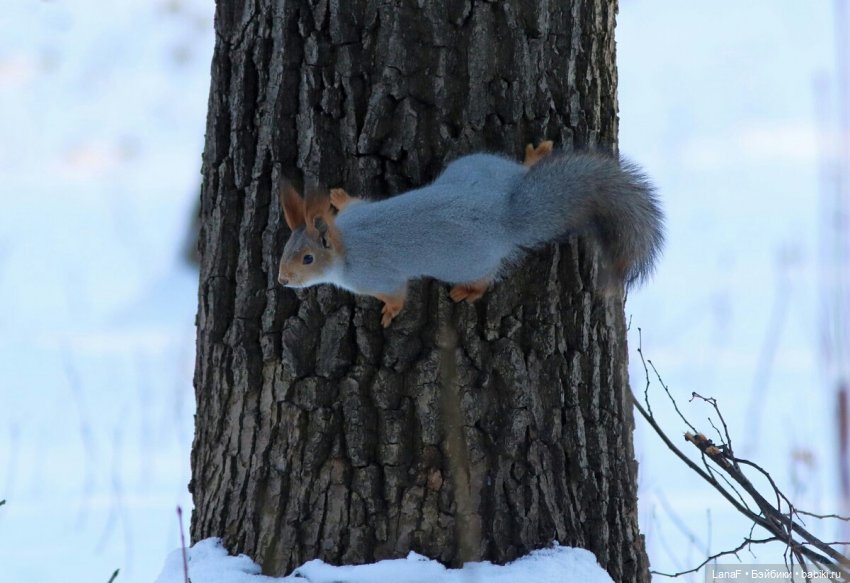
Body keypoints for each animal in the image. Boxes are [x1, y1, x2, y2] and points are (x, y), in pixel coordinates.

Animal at [278, 139, 664, 326]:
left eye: (308, 259)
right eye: (284, 249)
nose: (282, 280)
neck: (345, 242)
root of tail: (504, 215)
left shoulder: (375, 277)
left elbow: (397, 294)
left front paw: (389, 312)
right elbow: (354, 201)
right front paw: (338, 197)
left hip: (462, 264)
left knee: (486, 278)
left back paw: (468, 292)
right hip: (480, 166)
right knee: (519, 170)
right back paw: (534, 156)